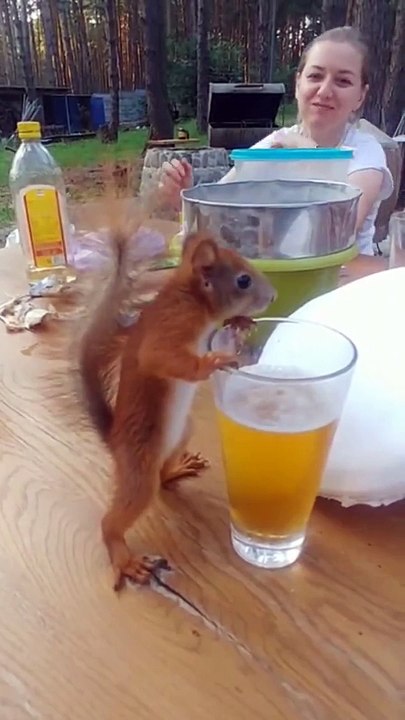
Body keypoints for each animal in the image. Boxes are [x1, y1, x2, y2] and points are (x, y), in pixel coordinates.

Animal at [78, 226, 276, 591]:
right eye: (243, 280)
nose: (272, 296)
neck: (192, 297)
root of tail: (114, 442)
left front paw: (240, 320)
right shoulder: (171, 327)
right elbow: (162, 357)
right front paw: (215, 360)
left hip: (183, 432)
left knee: (164, 475)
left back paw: (178, 468)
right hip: (139, 473)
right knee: (115, 518)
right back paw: (124, 558)